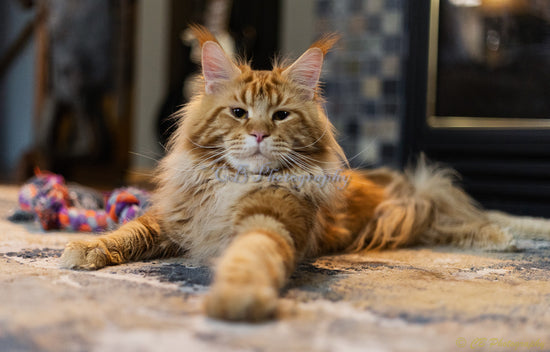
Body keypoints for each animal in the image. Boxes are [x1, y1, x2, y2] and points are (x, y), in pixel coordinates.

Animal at [60, 24, 550, 322]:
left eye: (280, 116)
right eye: (238, 113)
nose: (258, 133)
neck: (232, 186)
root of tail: (405, 184)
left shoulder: (270, 221)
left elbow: (250, 258)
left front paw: (235, 299)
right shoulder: (172, 220)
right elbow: (128, 233)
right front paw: (84, 249)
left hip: (413, 214)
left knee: (477, 219)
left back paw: (512, 238)